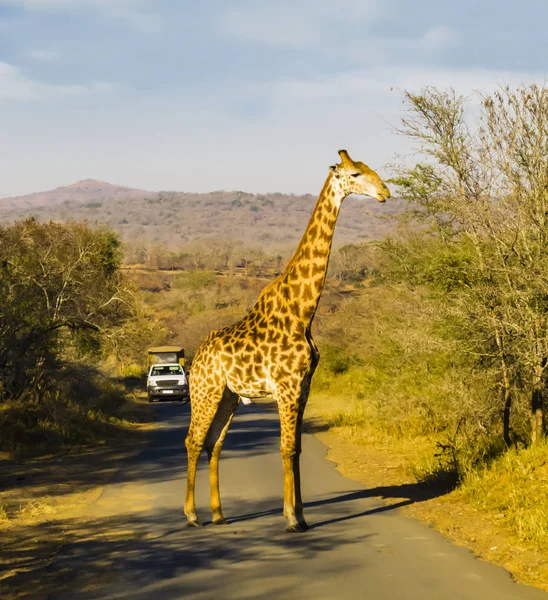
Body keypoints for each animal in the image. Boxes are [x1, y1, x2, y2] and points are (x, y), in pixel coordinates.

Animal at [184, 149, 390, 528]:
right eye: (355, 174)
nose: (385, 191)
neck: (303, 311)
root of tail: (198, 354)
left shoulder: (304, 386)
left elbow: (297, 448)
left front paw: (303, 514)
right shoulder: (287, 386)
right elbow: (286, 447)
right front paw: (292, 518)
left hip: (228, 397)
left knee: (213, 443)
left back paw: (218, 514)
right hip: (205, 391)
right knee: (193, 440)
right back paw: (191, 515)